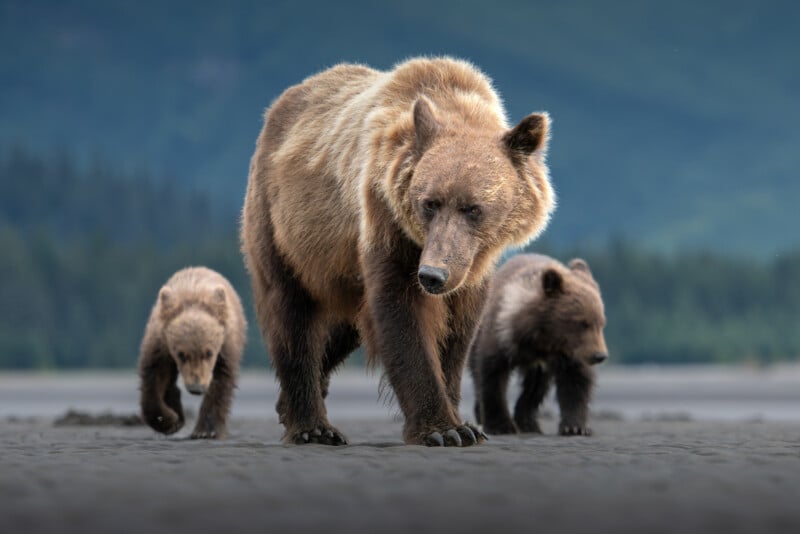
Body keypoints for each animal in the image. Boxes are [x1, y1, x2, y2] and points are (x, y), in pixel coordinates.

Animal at [138, 266, 247, 439]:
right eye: (181, 354)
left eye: (208, 353)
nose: (196, 388)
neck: (193, 299)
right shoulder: (160, 342)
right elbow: (154, 377)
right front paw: (169, 420)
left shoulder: (226, 345)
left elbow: (221, 381)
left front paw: (206, 430)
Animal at [241, 57, 555, 446]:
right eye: (429, 203)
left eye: (472, 208)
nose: (433, 276)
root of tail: (278, 106)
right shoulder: (387, 220)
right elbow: (402, 314)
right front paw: (444, 429)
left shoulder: (471, 264)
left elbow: (457, 330)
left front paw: (462, 420)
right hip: (283, 227)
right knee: (291, 314)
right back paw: (313, 427)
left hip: (341, 271)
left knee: (345, 327)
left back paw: (291, 402)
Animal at [468, 253, 609, 436]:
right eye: (581, 323)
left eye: (600, 323)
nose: (600, 355)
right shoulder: (500, 335)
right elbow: (492, 375)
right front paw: (501, 425)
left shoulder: (571, 353)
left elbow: (576, 381)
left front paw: (575, 427)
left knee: (535, 387)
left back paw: (529, 423)